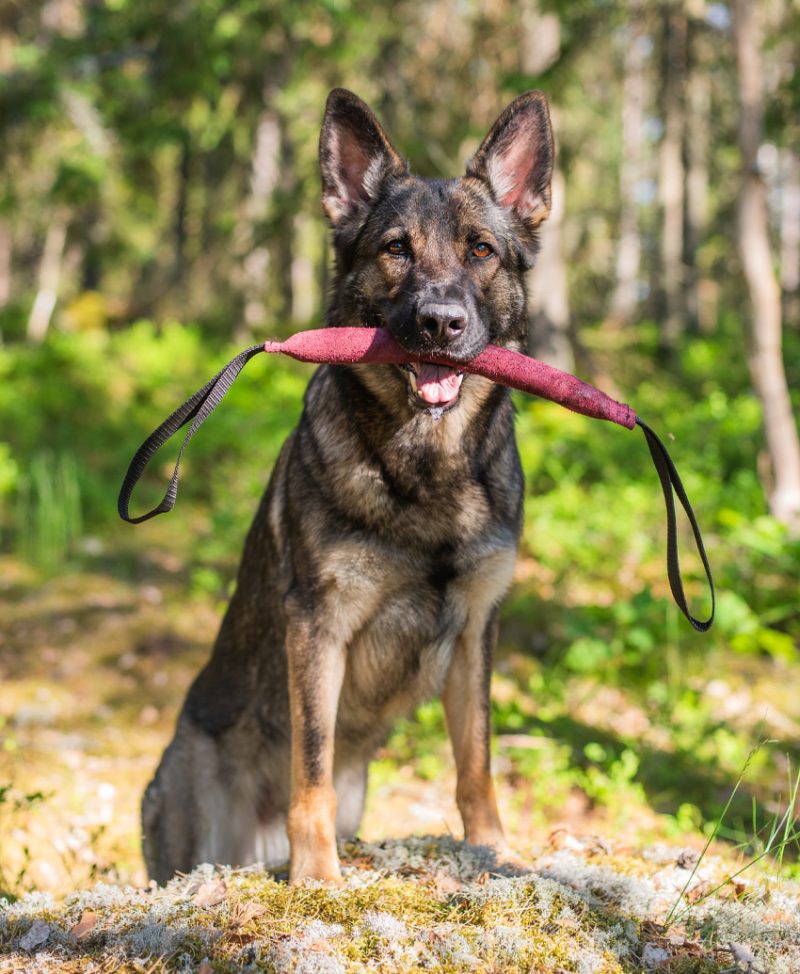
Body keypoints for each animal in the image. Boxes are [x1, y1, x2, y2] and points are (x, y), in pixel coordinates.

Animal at [141, 87, 552, 888]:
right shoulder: (317, 628)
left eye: (481, 251)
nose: (440, 322)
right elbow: (313, 769)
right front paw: (317, 877)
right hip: (187, 804)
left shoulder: (477, 634)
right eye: (396, 250)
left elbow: (476, 765)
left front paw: (492, 851)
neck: (426, 466)